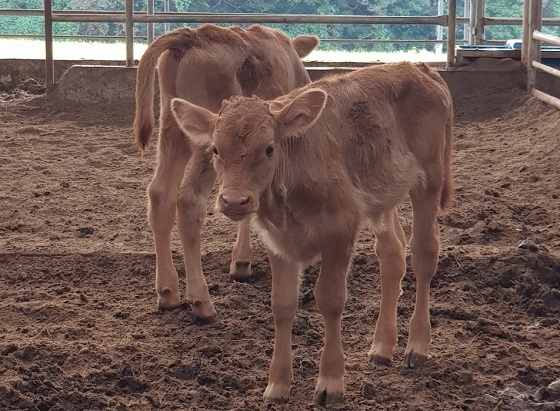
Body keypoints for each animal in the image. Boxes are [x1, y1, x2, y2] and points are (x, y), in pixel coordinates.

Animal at [132, 24, 320, 320]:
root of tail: (190, 36)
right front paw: (242, 261)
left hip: (173, 131)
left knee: (160, 194)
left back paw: (168, 292)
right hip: (208, 143)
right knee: (189, 201)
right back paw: (201, 301)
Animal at [172, 62, 456, 408]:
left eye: (269, 148)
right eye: (215, 149)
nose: (234, 201)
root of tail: (420, 68)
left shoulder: (340, 229)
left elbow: (330, 300)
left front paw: (331, 381)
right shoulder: (278, 242)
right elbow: (282, 305)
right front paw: (278, 384)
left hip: (429, 180)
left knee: (424, 255)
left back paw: (417, 346)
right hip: (382, 196)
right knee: (393, 257)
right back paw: (382, 347)